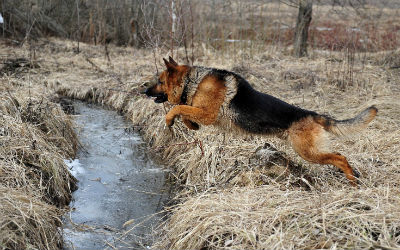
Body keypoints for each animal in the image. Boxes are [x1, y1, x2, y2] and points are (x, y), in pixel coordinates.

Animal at [145, 57, 376, 186]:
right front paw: (191, 125)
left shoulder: (208, 114)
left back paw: (353, 181)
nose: (144, 91)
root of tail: (311, 114)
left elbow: (177, 108)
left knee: (340, 157)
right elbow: (184, 111)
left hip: (308, 152)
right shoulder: (202, 112)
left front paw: (170, 120)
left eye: (159, 81)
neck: (193, 82)